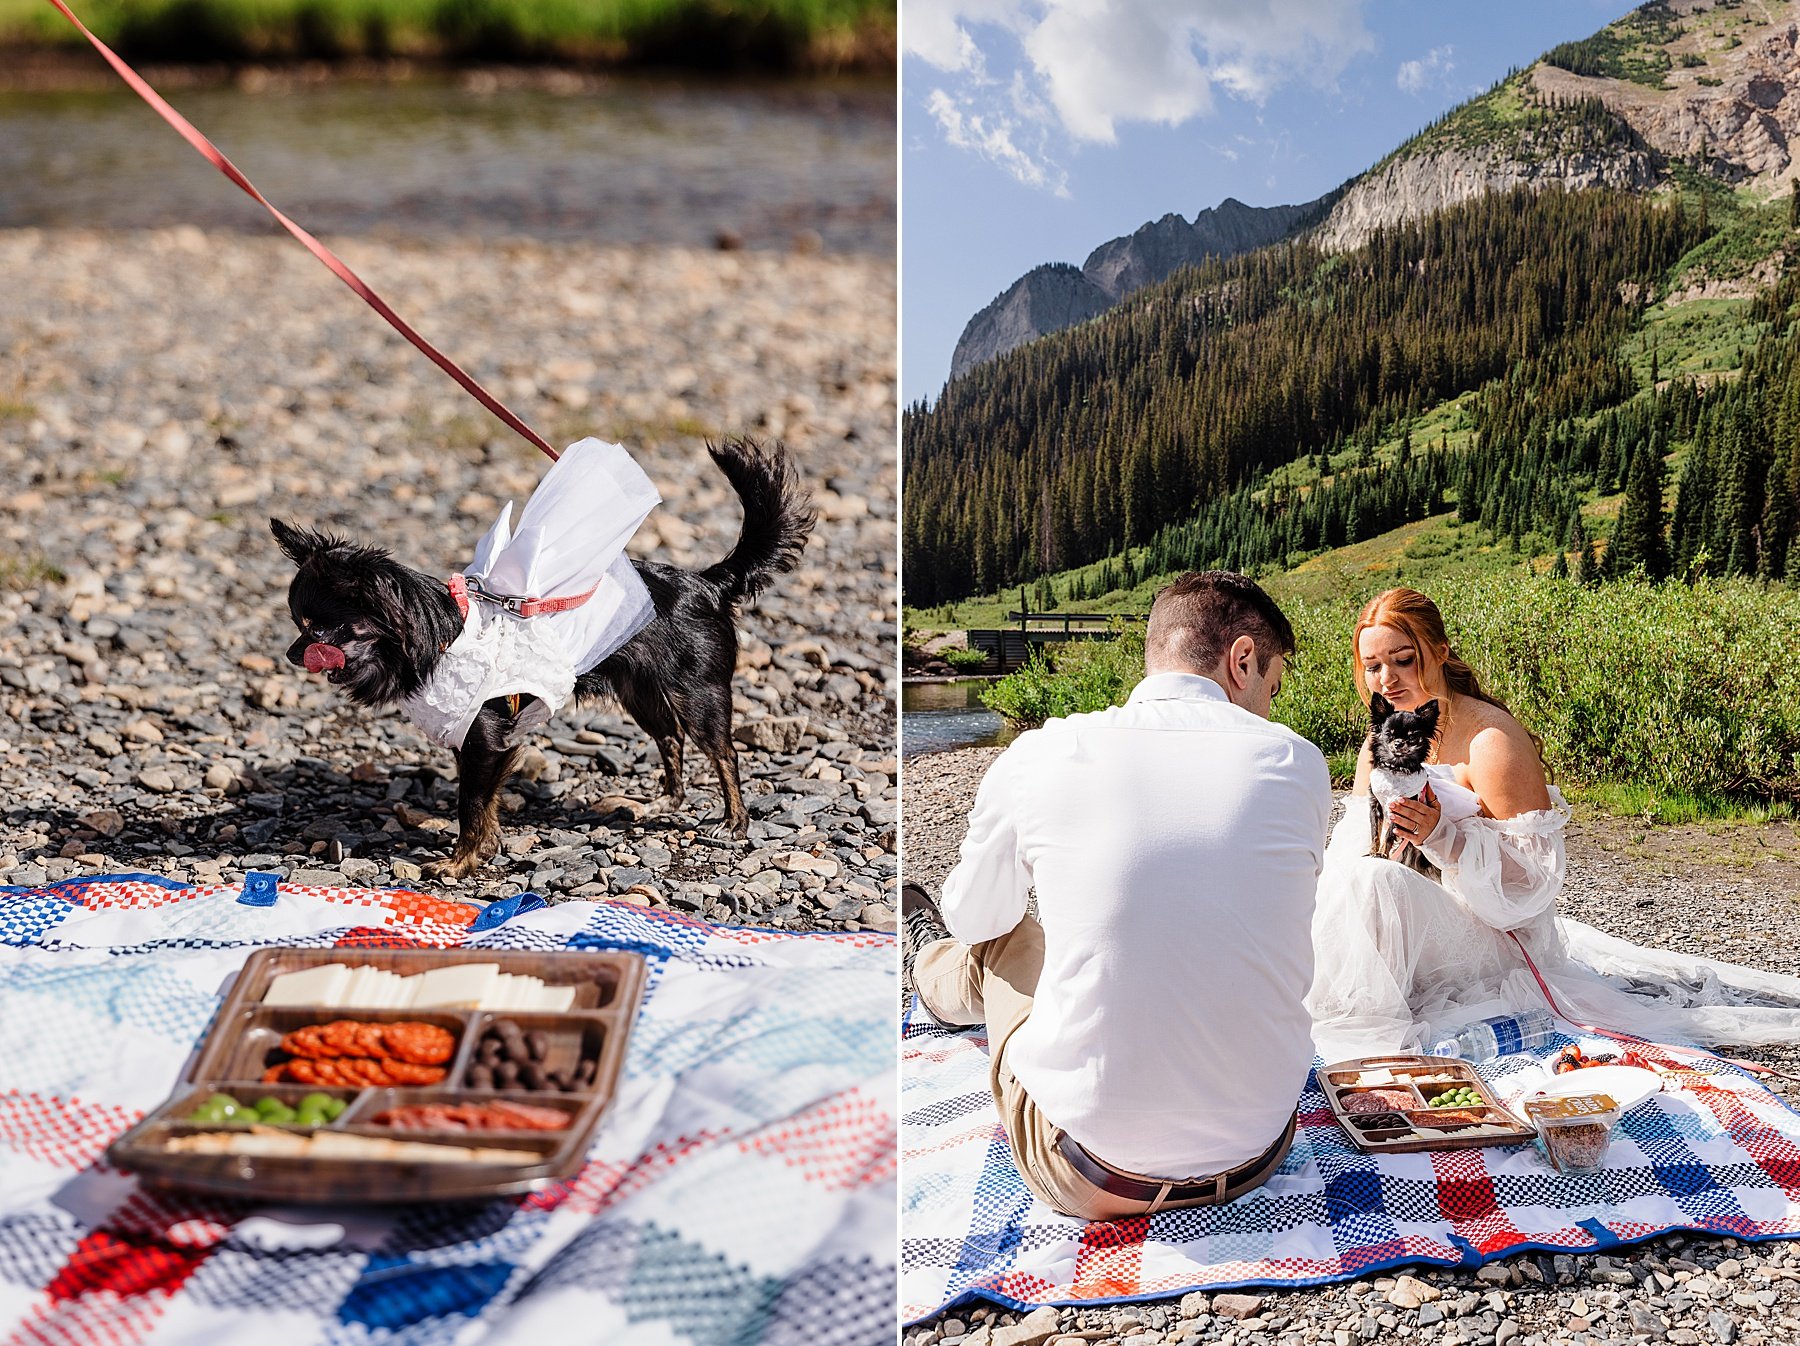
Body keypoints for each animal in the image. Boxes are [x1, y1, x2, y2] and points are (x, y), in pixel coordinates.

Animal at [268, 437, 817, 878]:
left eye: (318, 629)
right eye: (299, 625)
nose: (291, 654)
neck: (436, 639)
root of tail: (706, 582)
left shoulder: (486, 738)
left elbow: (470, 805)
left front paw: (461, 862)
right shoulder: (474, 740)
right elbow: (482, 802)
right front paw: (487, 849)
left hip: (696, 694)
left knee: (723, 752)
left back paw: (734, 822)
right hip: (641, 693)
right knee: (670, 739)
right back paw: (666, 800)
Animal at [1368, 687, 1440, 878]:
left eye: (1412, 737)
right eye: (1388, 734)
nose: (1399, 743)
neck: (1395, 767)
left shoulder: (1399, 808)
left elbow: (1388, 835)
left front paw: (1382, 854)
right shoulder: (1375, 806)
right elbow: (1375, 832)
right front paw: (1372, 851)